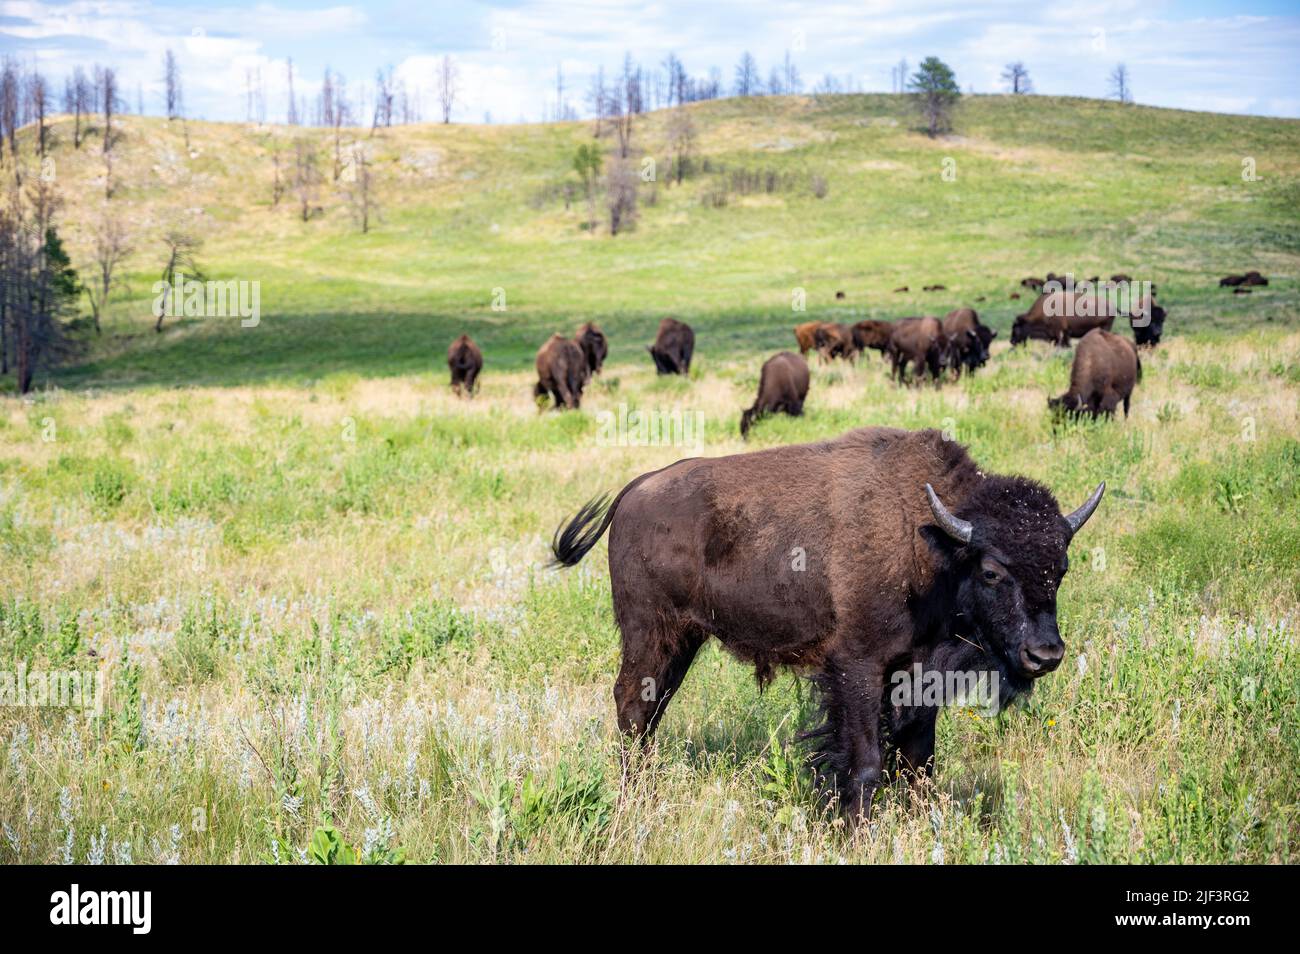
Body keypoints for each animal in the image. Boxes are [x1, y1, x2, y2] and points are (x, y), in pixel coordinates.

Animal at [553, 428, 1102, 816]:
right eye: (991, 570)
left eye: (1061, 568)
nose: (1045, 654)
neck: (931, 542)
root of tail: (634, 491)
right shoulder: (858, 667)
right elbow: (864, 763)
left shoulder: (918, 674)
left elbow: (919, 760)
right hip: (650, 634)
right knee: (633, 708)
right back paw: (634, 799)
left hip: (682, 641)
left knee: (650, 710)